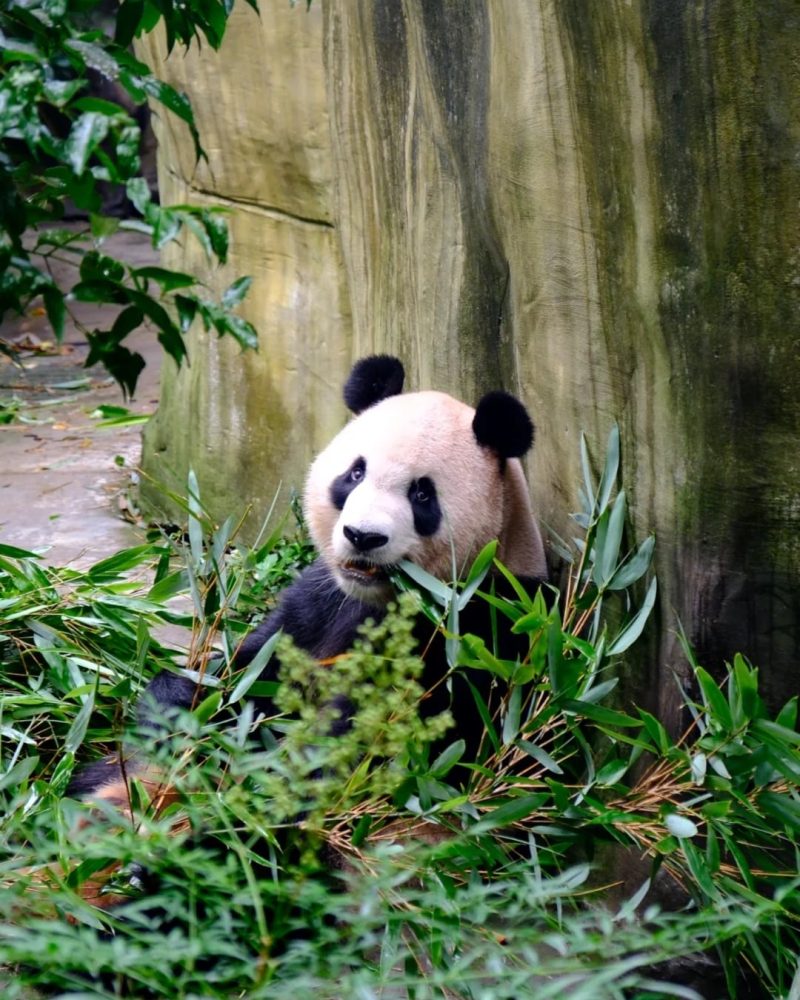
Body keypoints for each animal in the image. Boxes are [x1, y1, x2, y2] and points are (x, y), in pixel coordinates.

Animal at [68, 355, 548, 810]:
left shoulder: (471, 632)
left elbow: (370, 743)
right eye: (355, 474)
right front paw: (178, 704)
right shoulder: (318, 600)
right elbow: (248, 674)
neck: (377, 596)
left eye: (422, 494)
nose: (362, 536)